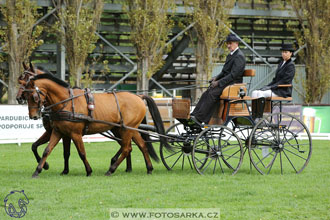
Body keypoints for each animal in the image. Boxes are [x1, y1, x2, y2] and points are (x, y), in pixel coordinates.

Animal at [20, 71, 170, 178]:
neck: (66, 102)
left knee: (127, 148)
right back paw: (149, 168)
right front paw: (38, 170)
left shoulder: (75, 134)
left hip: (126, 130)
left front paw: (89, 170)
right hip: (129, 129)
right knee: (142, 146)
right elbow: (47, 150)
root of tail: (139, 97)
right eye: (26, 95)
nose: (33, 116)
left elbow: (81, 153)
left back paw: (111, 169)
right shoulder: (58, 132)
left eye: (33, 96)